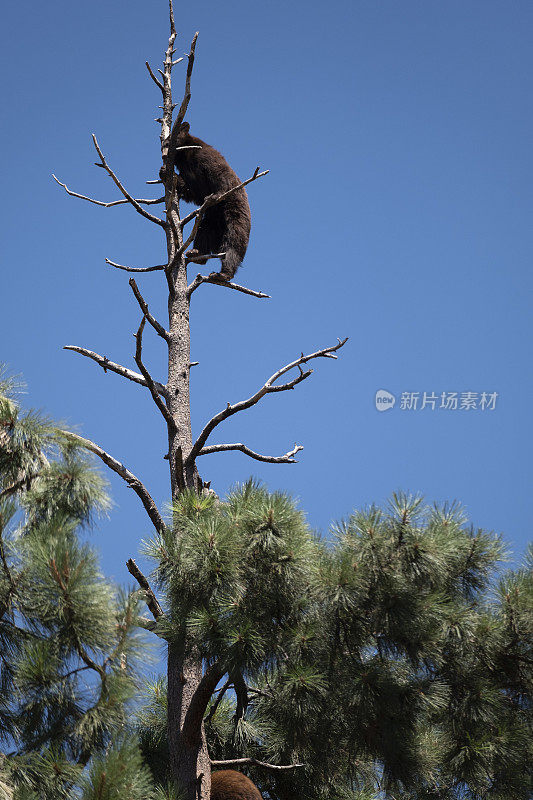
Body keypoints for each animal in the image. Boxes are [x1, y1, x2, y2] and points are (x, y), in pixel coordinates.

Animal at [169, 120, 250, 280]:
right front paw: (166, 173)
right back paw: (197, 253)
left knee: (233, 245)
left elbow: (220, 175)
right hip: (212, 220)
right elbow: (192, 191)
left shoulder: (206, 157)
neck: (186, 156)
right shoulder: (188, 173)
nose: (165, 146)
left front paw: (214, 196)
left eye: (171, 137)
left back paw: (223, 273)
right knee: (204, 230)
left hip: (236, 217)